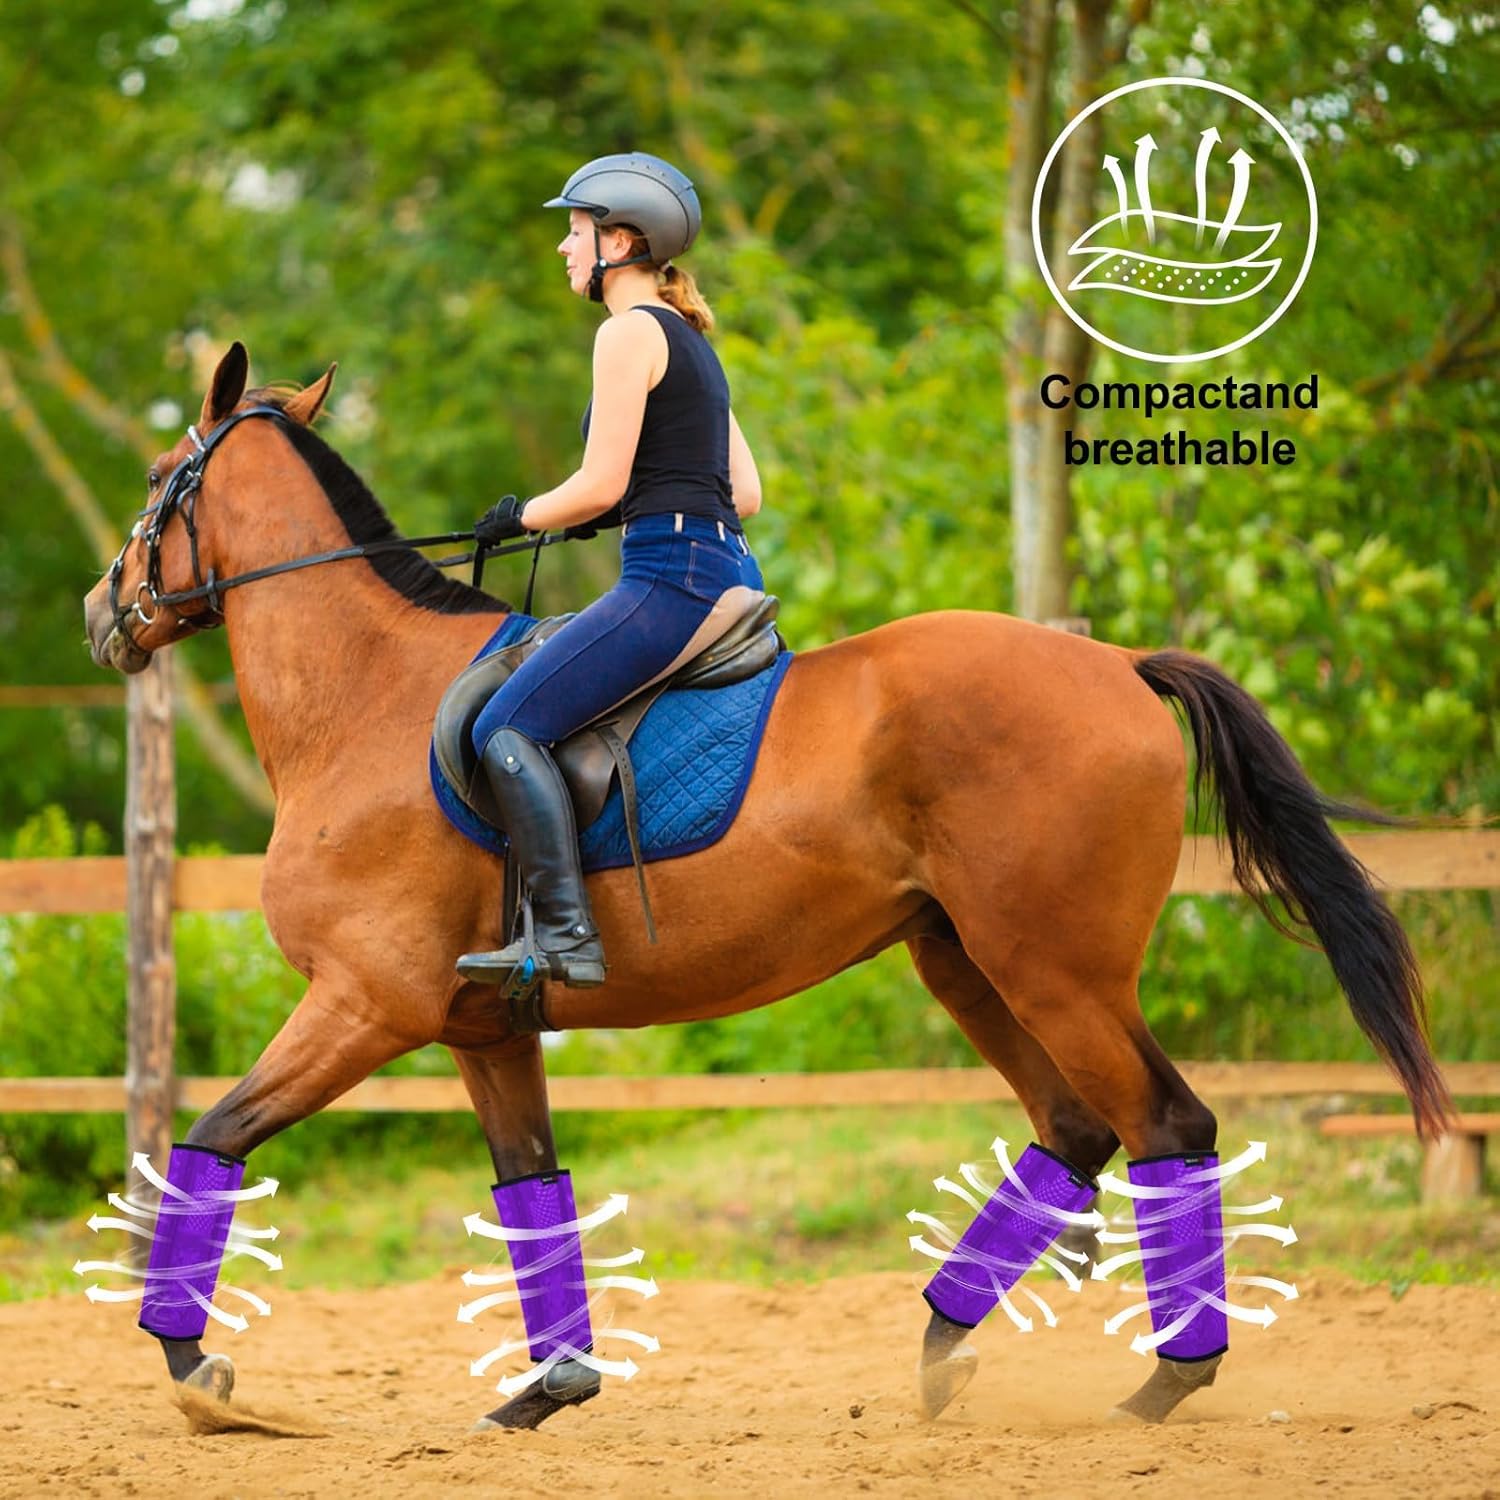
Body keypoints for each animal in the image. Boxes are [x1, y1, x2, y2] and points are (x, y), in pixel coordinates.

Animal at [83, 343, 1450, 1432]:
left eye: (157, 479)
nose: (105, 611)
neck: (366, 697)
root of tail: (1115, 663)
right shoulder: (483, 1028)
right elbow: (530, 1194)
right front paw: (553, 1389)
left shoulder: (368, 1003)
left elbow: (211, 1139)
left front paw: (195, 1370)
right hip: (966, 961)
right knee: (1077, 1129)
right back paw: (946, 1349)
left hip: (1057, 970)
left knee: (1169, 1127)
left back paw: (1162, 1382)